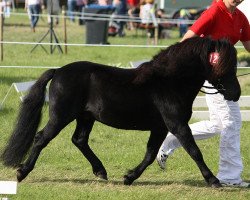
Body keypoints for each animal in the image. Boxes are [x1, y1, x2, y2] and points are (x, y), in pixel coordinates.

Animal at [0, 37, 240, 188]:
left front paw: (129, 177)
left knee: (79, 140)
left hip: (85, 118)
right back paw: (22, 172)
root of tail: (58, 71)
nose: (236, 93)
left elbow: (150, 154)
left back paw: (101, 171)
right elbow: (194, 151)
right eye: (224, 65)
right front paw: (213, 181)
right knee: (42, 138)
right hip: (61, 116)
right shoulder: (177, 125)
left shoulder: (160, 128)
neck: (169, 82)